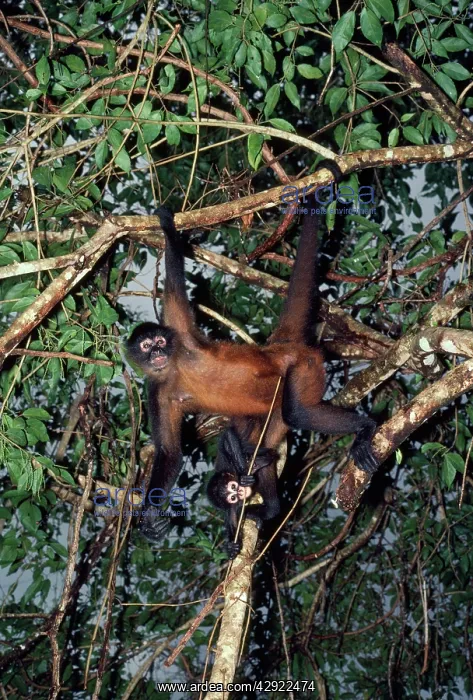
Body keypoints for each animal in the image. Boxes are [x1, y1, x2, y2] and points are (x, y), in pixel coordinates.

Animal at [125, 160, 378, 546]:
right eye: (144, 347)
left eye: (159, 342)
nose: (156, 353)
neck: (173, 369)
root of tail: (278, 347)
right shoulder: (156, 389)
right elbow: (170, 452)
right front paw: (151, 517)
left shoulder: (180, 334)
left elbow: (174, 282)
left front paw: (168, 227)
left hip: (304, 366)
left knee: (297, 411)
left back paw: (367, 427)